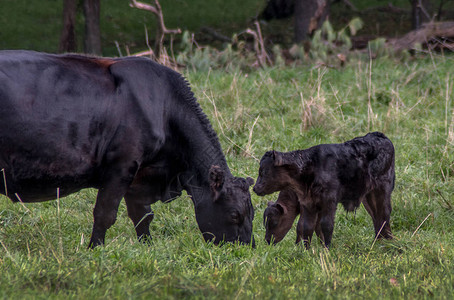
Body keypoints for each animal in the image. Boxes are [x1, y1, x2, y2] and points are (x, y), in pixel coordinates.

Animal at [0, 50, 255, 248]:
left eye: (252, 213)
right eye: (235, 214)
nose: (246, 249)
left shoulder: (140, 173)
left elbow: (143, 215)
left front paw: (148, 247)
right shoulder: (122, 164)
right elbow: (105, 213)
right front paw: (95, 249)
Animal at [254, 133, 396, 248]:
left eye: (264, 171)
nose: (255, 188)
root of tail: (379, 135)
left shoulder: (329, 201)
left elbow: (324, 225)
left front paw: (326, 248)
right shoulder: (309, 203)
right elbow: (307, 226)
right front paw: (305, 250)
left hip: (383, 190)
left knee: (384, 213)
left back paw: (387, 241)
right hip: (368, 196)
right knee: (376, 215)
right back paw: (379, 241)